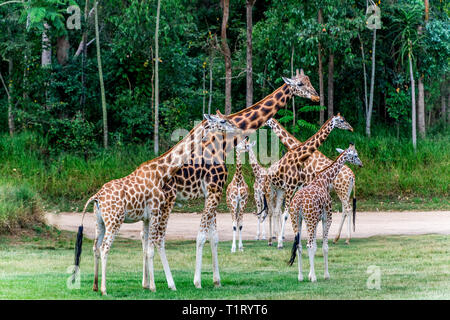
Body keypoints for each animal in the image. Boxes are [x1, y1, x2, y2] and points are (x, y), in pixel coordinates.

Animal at [78, 114, 237, 296]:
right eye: (222, 121)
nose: (234, 127)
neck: (161, 172)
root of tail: (96, 197)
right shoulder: (155, 211)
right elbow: (152, 249)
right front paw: (155, 286)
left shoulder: (147, 217)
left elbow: (147, 248)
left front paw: (149, 285)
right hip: (114, 220)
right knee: (105, 248)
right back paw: (104, 289)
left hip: (100, 221)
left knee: (95, 247)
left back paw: (95, 286)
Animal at [149, 69, 318, 288]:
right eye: (300, 84)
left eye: (309, 81)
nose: (316, 96)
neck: (223, 145)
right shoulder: (214, 190)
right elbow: (202, 236)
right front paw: (197, 281)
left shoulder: (212, 193)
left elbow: (213, 236)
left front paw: (216, 280)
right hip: (165, 202)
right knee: (156, 237)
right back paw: (164, 283)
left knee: (149, 237)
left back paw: (148, 283)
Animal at [286, 144, 364, 282]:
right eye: (355, 155)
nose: (361, 164)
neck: (324, 180)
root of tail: (299, 202)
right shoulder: (327, 217)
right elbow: (324, 247)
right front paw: (325, 275)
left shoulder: (315, 220)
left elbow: (316, 245)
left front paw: (309, 274)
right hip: (310, 220)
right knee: (308, 245)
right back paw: (314, 278)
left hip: (296, 220)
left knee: (299, 245)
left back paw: (300, 276)